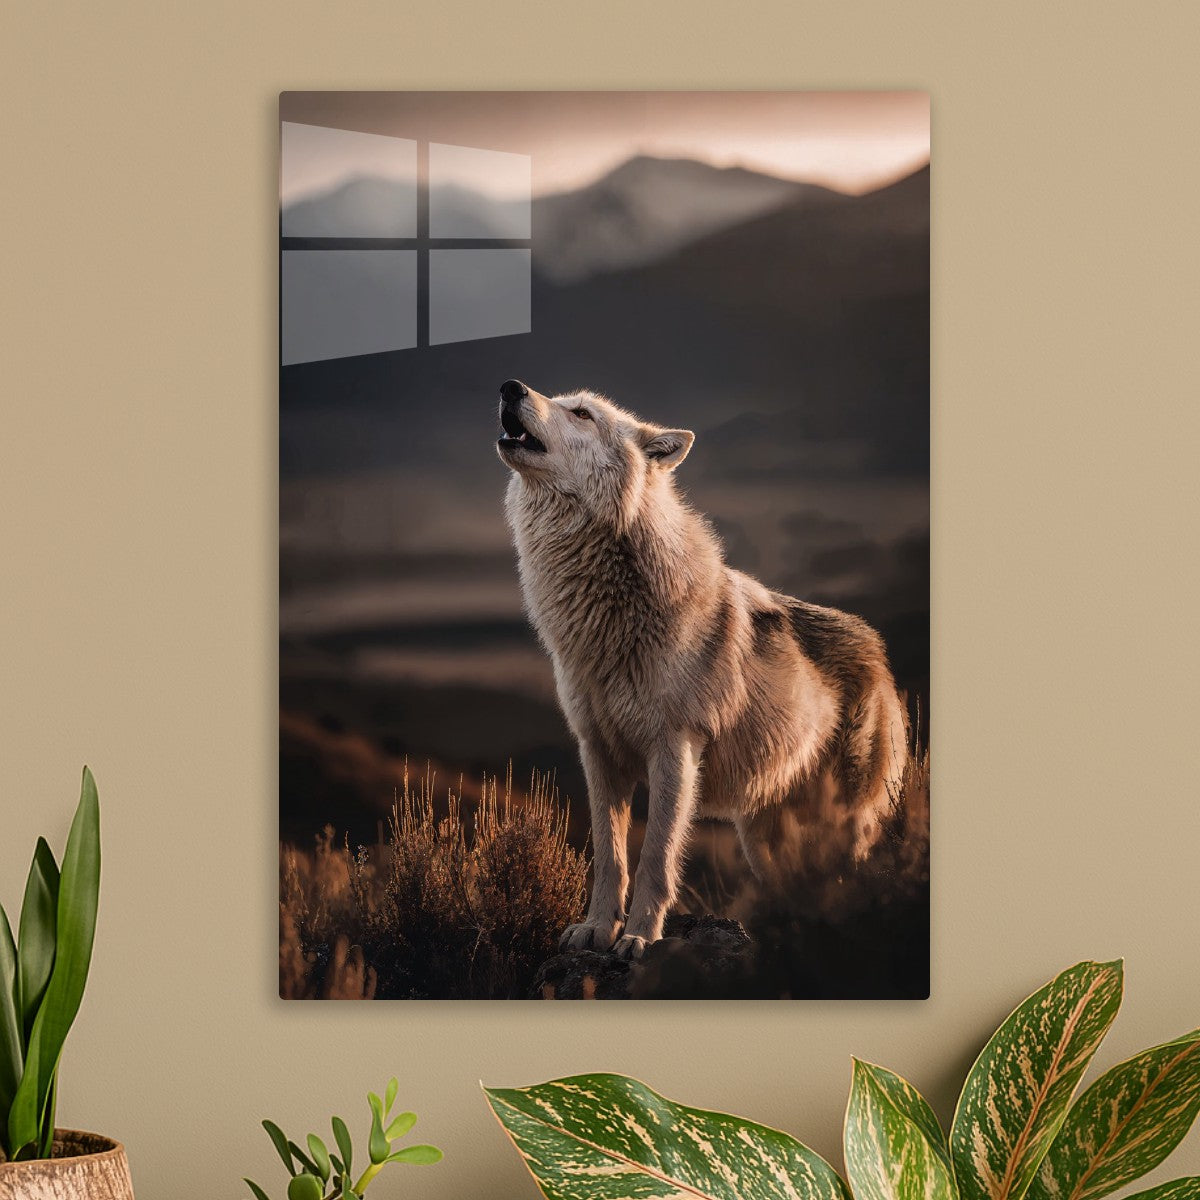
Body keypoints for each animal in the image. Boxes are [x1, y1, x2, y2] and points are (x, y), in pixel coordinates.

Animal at [496, 379, 909, 960]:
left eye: (581, 413)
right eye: (559, 399)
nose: (510, 387)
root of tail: (878, 649)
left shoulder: (675, 749)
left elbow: (656, 856)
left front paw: (639, 938)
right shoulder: (597, 751)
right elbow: (609, 856)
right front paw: (597, 930)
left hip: (848, 826)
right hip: (763, 841)